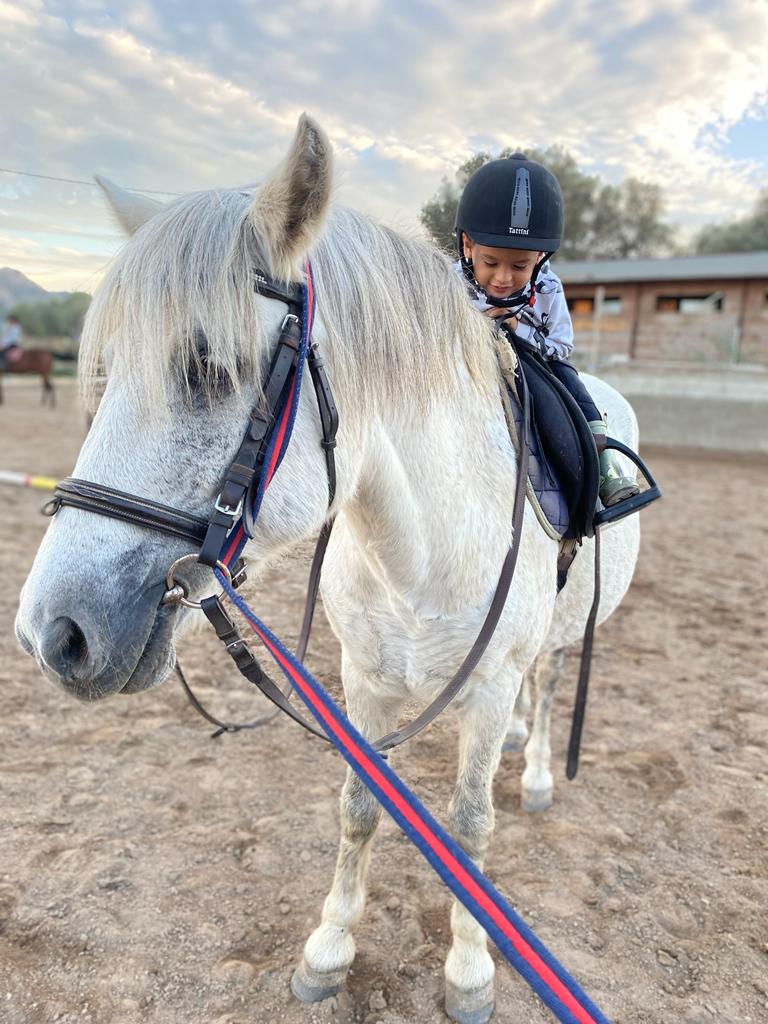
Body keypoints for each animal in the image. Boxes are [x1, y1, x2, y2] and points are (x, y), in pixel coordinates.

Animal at [15, 115, 640, 1023]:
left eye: (207, 368)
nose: (51, 633)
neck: (421, 549)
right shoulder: (364, 682)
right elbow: (359, 809)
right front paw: (329, 948)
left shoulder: (486, 689)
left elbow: (467, 829)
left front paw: (470, 971)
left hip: (560, 635)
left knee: (548, 683)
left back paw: (535, 773)